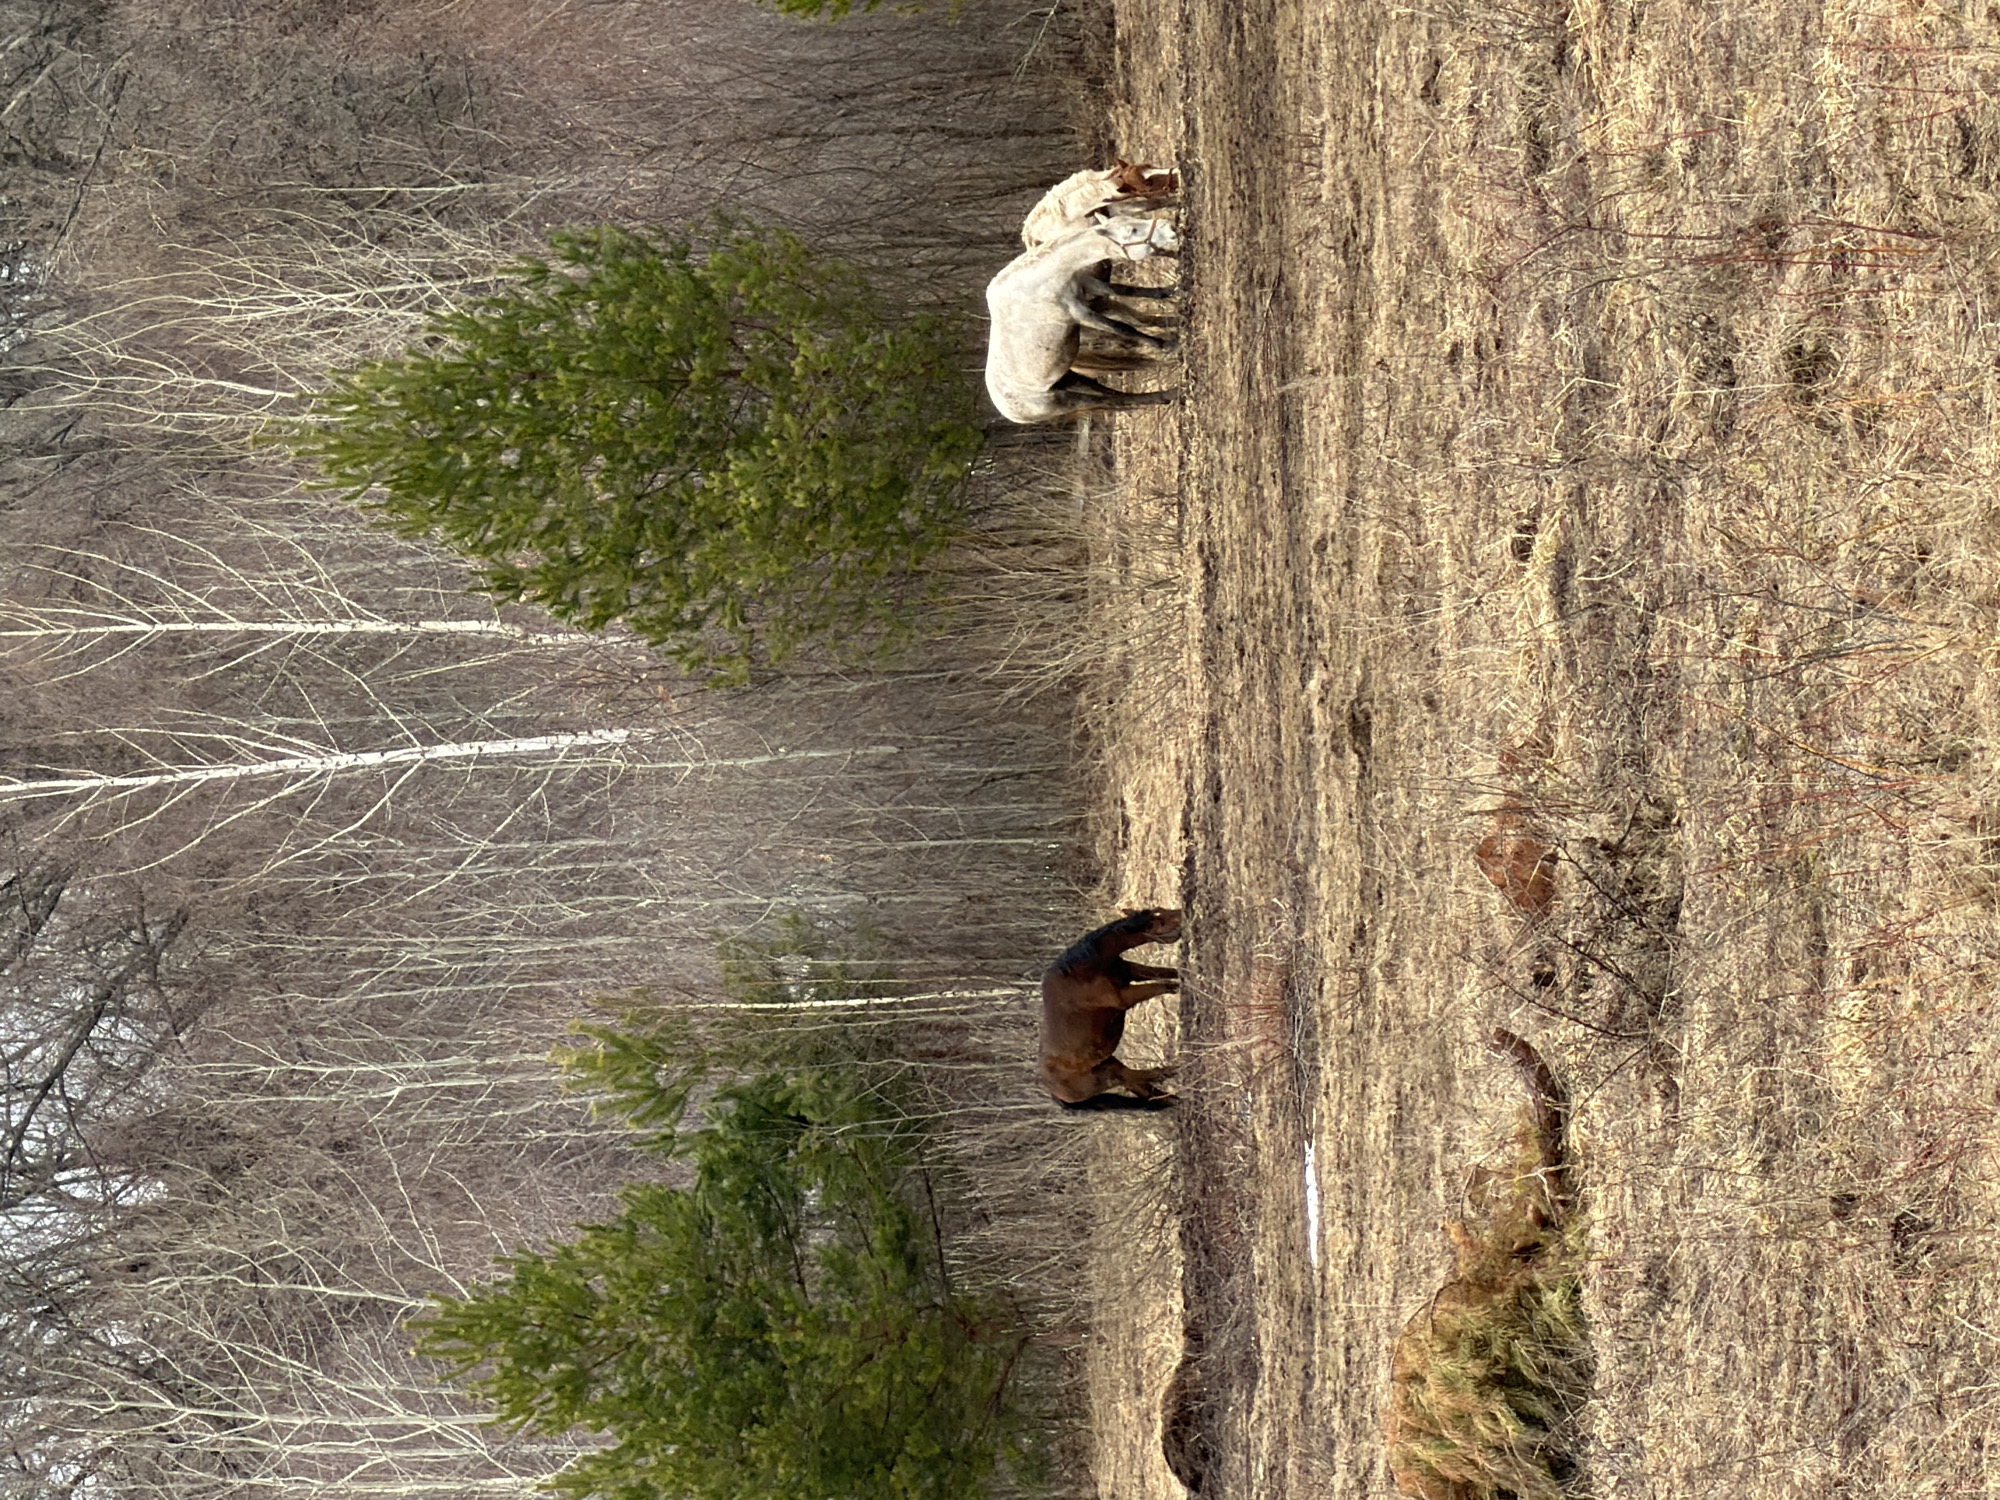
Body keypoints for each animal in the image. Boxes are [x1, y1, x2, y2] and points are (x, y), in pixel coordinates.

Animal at [985, 217, 1181, 424]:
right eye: (1132, 230)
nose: (1169, 225)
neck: (1040, 279)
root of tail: (1009, 412)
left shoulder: (1088, 285)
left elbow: (1126, 290)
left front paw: (1171, 289)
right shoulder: (1079, 313)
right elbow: (1123, 328)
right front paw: (1168, 345)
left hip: (1070, 380)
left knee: (1114, 396)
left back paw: (1167, 395)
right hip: (1066, 400)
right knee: (1112, 400)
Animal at [1039, 907, 1183, 1108]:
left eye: (1161, 910)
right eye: (1157, 923)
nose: (1182, 914)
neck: (1087, 968)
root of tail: (1055, 1092)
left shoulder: (1132, 971)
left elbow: (1168, 973)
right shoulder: (1124, 997)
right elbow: (1164, 985)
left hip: (1110, 1064)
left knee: (1144, 1088)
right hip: (1108, 1075)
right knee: (1141, 1076)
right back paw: (1174, 1071)